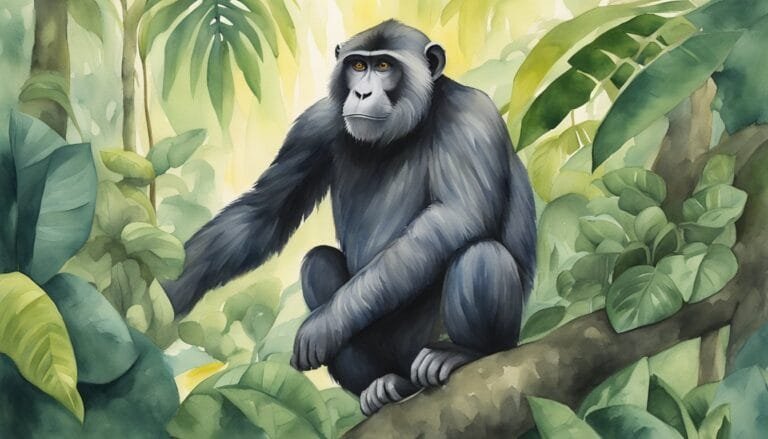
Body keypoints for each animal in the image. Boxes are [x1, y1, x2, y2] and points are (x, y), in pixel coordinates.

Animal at [162, 20, 536, 416]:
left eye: (384, 66)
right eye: (358, 66)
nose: (361, 91)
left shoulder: (471, 116)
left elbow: (457, 214)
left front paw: (325, 324)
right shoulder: (315, 124)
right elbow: (263, 215)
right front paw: (165, 295)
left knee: (480, 255)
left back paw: (462, 353)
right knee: (317, 263)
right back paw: (379, 384)